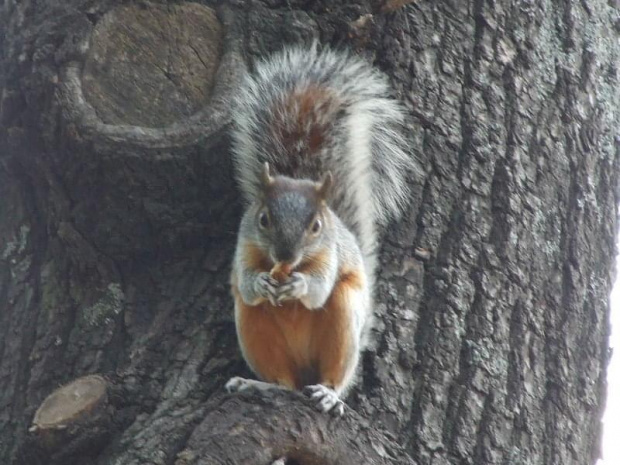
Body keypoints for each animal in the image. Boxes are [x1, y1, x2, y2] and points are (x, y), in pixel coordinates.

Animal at [224, 42, 416, 414]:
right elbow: (247, 282)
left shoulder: (331, 252)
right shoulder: (244, 245)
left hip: (343, 322)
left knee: (335, 375)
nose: (285, 255)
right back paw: (260, 384)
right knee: (284, 380)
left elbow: (319, 288)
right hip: (254, 329)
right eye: (263, 219)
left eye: (316, 226)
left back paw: (328, 394)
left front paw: (299, 284)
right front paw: (261, 281)